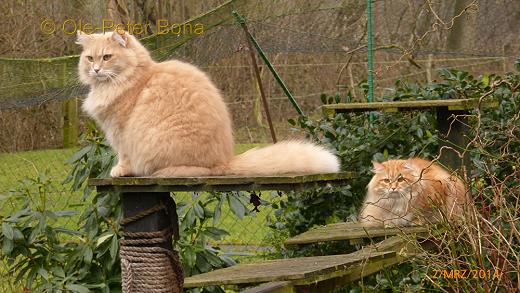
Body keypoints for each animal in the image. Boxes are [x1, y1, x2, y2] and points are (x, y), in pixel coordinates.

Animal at [75, 30, 340, 176]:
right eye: (89, 58)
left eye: (107, 57)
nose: (96, 69)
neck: (136, 76)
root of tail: (224, 160)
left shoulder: (120, 132)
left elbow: (123, 156)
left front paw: (120, 170)